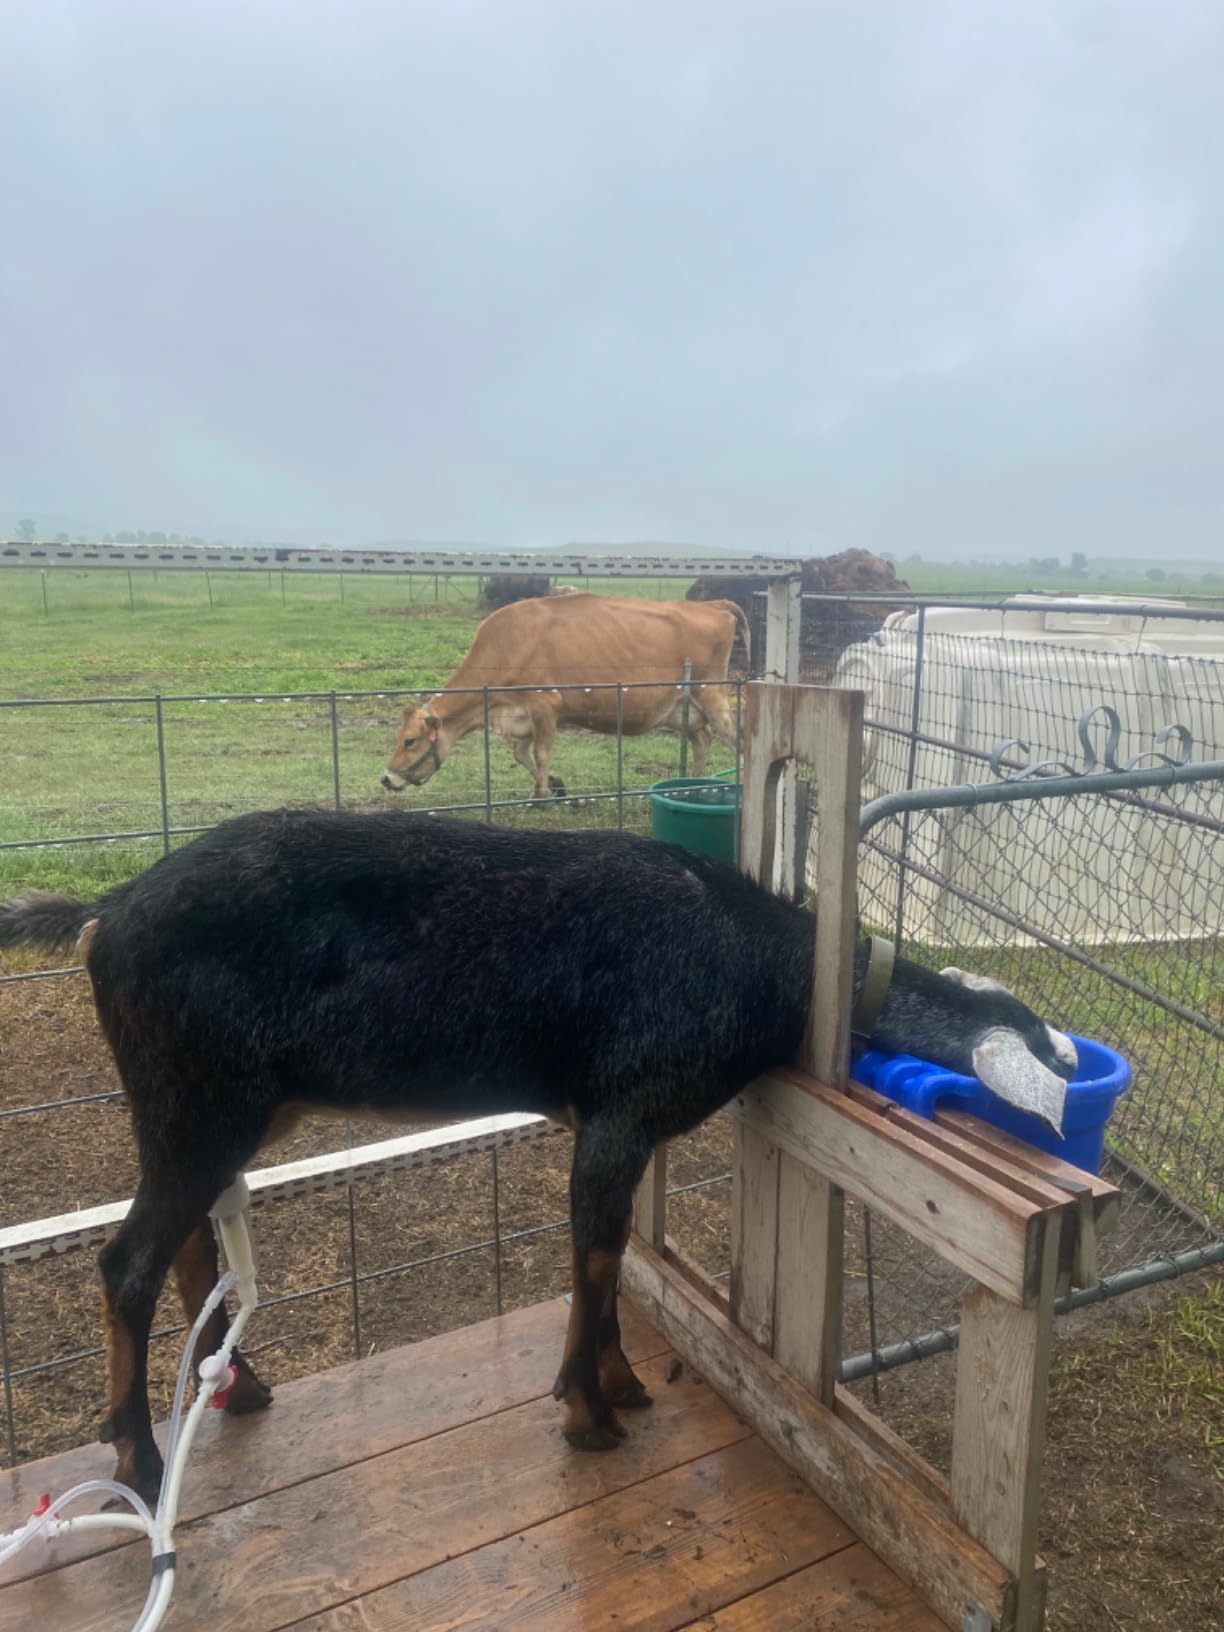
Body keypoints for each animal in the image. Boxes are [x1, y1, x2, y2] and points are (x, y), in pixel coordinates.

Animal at [0, 810, 1077, 1500]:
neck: (759, 956)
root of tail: (109, 909)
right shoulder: (623, 1110)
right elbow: (595, 1257)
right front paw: (588, 1416)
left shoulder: (608, 1121)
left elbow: (606, 1253)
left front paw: (620, 1381)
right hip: (196, 1096)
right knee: (127, 1261)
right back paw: (140, 1460)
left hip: (220, 1109)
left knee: (185, 1240)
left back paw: (240, 1388)